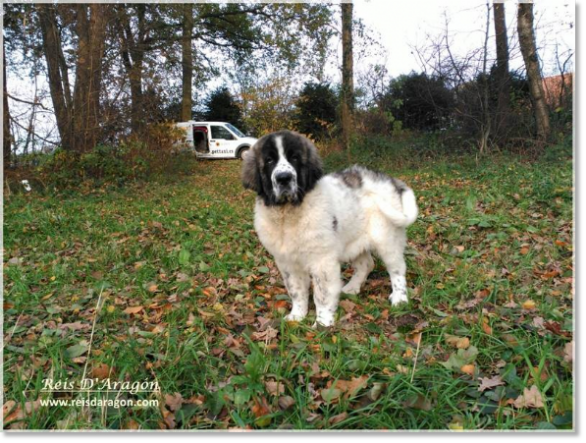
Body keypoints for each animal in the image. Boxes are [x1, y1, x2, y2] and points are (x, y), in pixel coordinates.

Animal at [241, 130, 416, 328]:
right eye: (269, 160)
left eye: (295, 158)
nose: (284, 178)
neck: (288, 214)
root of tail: (390, 180)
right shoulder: (287, 262)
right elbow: (296, 290)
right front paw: (297, 316)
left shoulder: (322, 261)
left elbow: (322, 294)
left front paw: (322, 324)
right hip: (352, 241)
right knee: (366, 264)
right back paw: (351, 288)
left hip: (386, 237)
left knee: (397, 268)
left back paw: (399, 298)